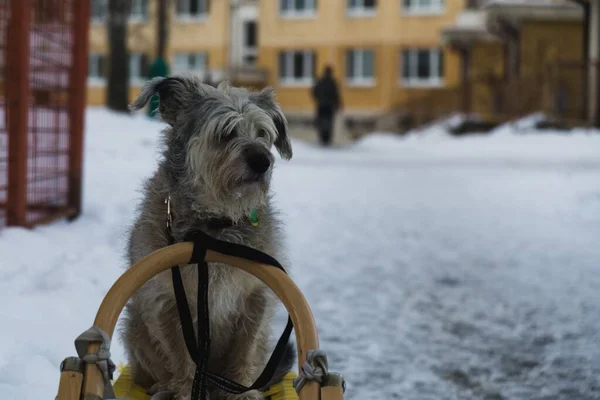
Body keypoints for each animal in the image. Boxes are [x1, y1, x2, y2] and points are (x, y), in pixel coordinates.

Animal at [123, 75, 296, 400]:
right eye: (225, 132)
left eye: (263, 133)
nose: (262, 161)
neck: (214, 227)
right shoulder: (167, 301)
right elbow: (180, 354)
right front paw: (184, 391)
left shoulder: (255, 297)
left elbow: (245, 347)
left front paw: (243, 391)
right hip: (134, 325)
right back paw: (163, 387)